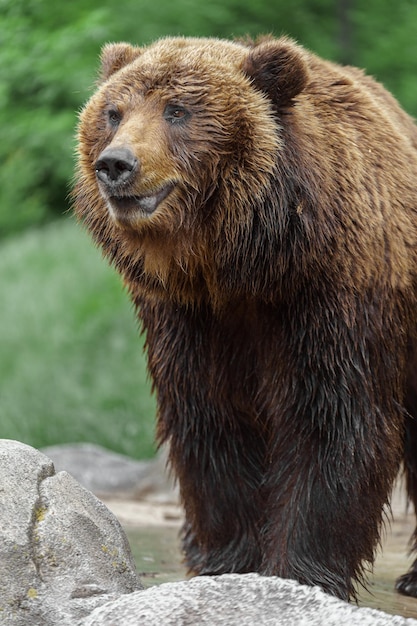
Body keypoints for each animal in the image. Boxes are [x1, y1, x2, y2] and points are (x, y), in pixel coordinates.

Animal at [73, 35, 416, 600]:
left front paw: (299, 569)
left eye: (177, 110)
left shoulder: (328, 298)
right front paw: (229, 559)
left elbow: (330, 420)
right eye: (113, 112)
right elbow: (212, 420)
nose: (116, 164)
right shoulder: (187, 317)